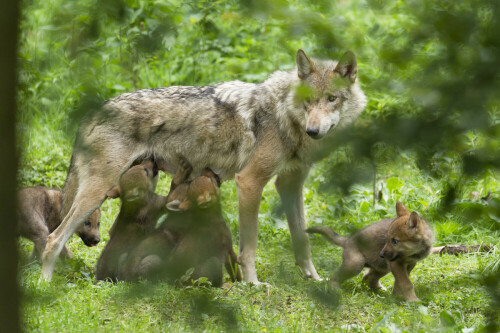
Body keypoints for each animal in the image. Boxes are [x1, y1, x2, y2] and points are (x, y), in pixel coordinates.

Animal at [40, 49, 368, 282]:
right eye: (308, 102)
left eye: (332, 99)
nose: (314, 131)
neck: (283, 114)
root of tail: (93, 110)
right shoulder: (249, 182)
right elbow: (249, 248)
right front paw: (253, 284)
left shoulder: (290, 184)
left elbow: (302, 240)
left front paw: (314, 279)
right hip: (96, 193)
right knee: (54, 238)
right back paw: (44, 284)